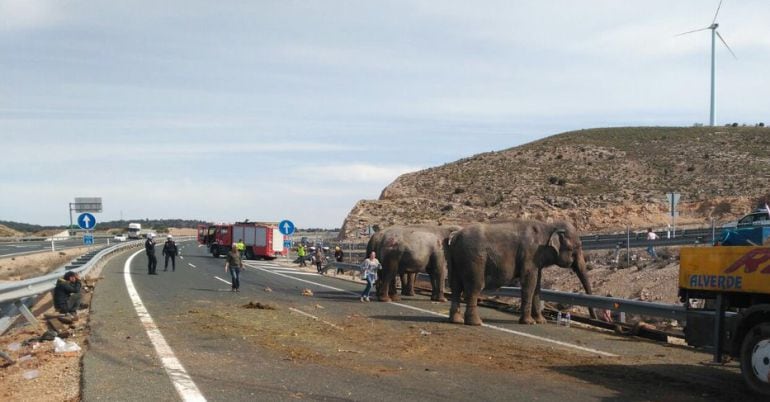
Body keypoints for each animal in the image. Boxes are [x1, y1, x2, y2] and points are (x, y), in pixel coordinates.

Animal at [444, 220, 592, 326]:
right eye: (575, 248)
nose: (592, 317)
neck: (549, 226)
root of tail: (455, 237)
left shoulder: (536, 259)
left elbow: (537, 285)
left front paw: (541, 321)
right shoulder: (530, 254)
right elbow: (529, 282)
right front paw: (529, 322)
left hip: (456, 260)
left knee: (455, 287)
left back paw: (456, 320)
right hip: (474, 259)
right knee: (474, 287)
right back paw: (476, 323)